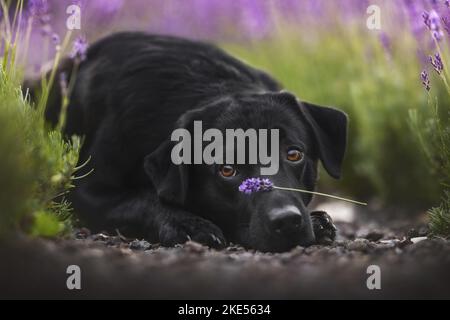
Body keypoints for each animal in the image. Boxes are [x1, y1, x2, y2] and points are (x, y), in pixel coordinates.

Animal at [34, 32, 348, 252]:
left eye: (294, 154)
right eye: (227, 170)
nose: (287, 221)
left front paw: (318, 221)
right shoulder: (87, 191)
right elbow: (141, 199)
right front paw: (186, 223)